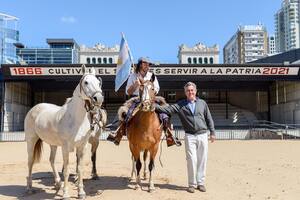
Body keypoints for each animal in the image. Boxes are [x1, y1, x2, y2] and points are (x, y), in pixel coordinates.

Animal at [24, 65, 103, 198]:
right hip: (31, 140)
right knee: (30, 162)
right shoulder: (65, 147)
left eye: (98, 83)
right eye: (86, 82)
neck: (75, 119)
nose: (99, 99)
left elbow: (80, 169)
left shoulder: (82, 146)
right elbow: (66, 170)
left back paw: (58, 184)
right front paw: (65, 193)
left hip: (53, 144)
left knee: (51, 160)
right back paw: (29, 188)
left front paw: (81, 192)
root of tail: (34, 108)